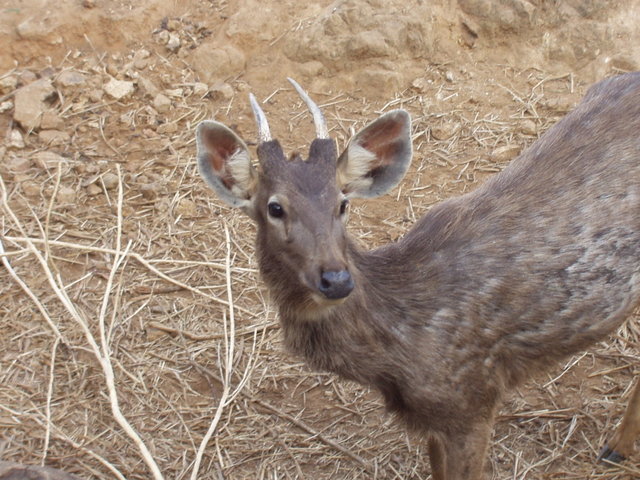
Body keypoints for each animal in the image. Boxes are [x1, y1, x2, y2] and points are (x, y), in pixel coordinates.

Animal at [195, 76, 640, 480]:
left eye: (342, 203)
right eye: (275, 208)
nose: (336, 279)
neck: (399, 353)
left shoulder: (472, 398)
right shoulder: (434, 420)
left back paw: (616, 447)